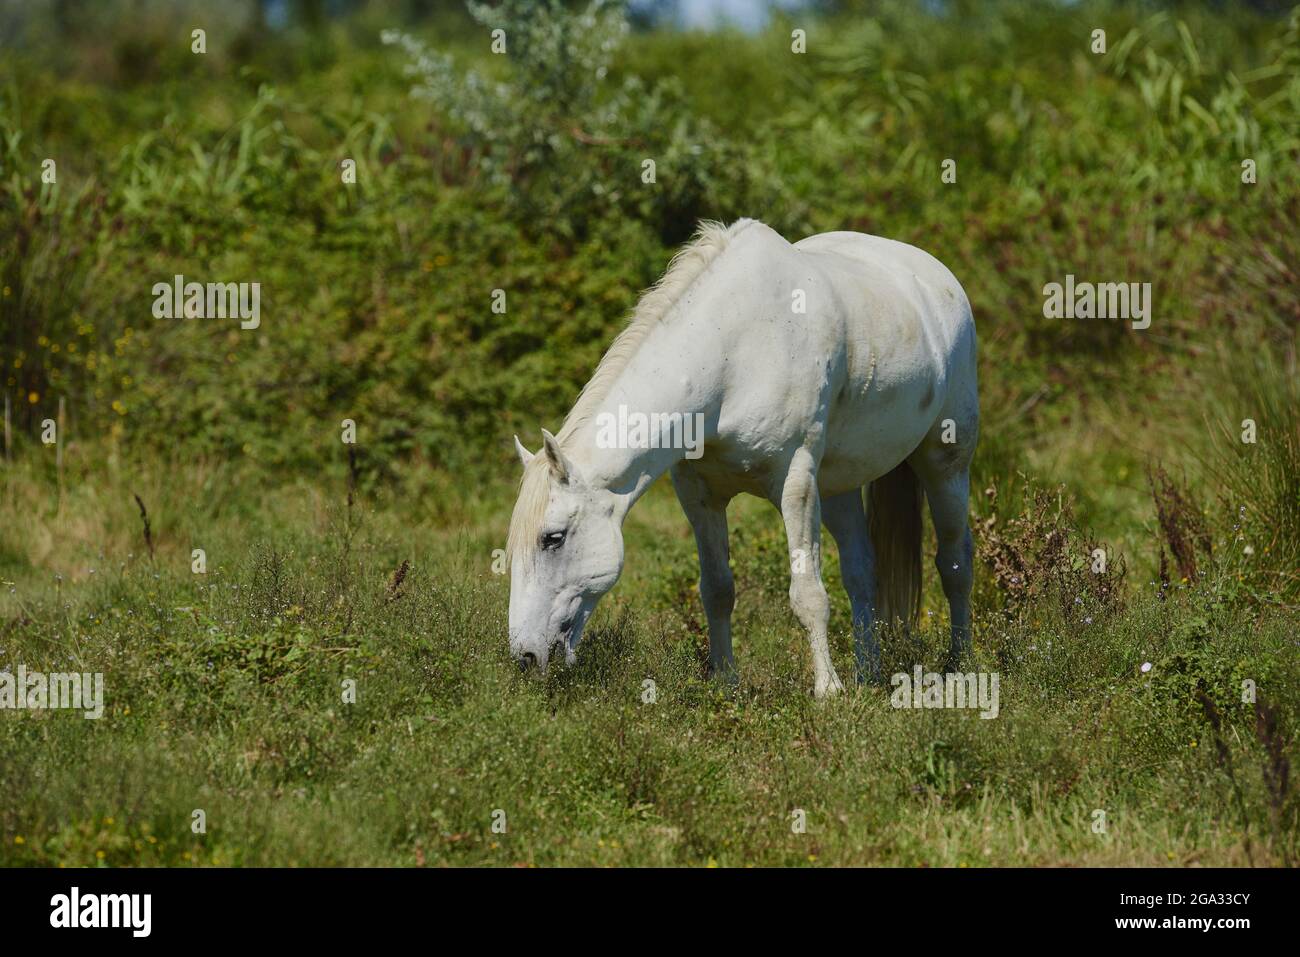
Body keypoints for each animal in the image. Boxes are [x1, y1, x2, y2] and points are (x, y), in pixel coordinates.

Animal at [507, 218, 978, 697]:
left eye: (552, 538)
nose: (525, 657)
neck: (733, 356)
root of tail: (938, 277)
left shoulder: (796, 484)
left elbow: (808, 594)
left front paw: (827, 691)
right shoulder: (699, 495)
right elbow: (717, 590)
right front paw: (725, 683)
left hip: (946, 464)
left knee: (954, 562)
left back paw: (957, 666)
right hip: (838, 487)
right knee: (862, 570)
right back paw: (868, 675)